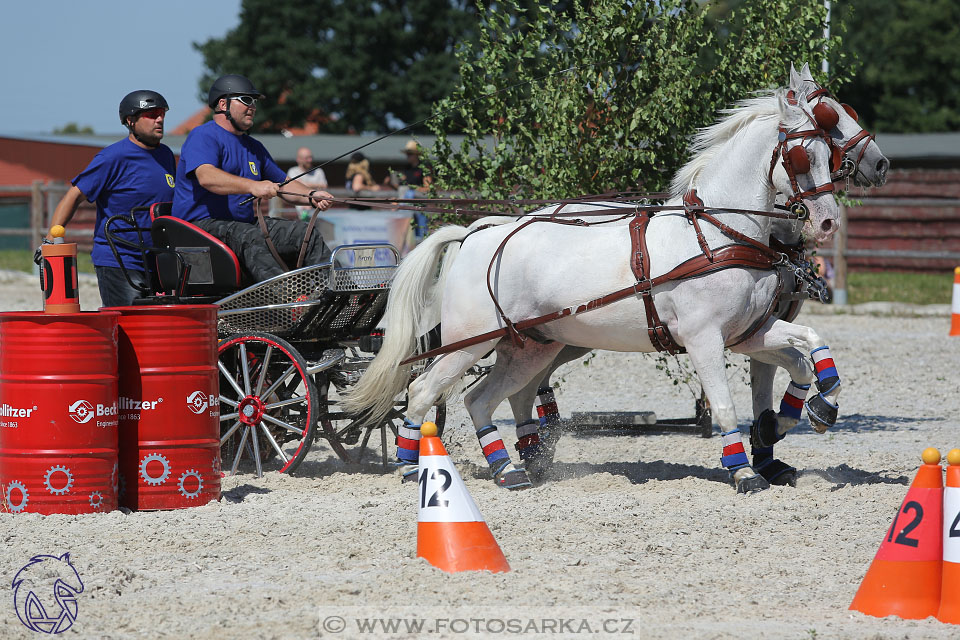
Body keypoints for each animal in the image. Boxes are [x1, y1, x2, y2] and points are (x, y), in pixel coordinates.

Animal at [344, 69, 840, 496]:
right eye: (802, 156)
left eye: (830, 153)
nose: (828, 221)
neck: (717, 235)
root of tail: (476, 234)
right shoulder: (705, 340)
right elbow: (723, 405)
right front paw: (743, 472)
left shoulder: (748, 333)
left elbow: (806, 350)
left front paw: (806, 412)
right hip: (468, 343)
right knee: (423, 391)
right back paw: (413, 468)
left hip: (528, 348)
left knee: (483, 399)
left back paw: (508, 470)